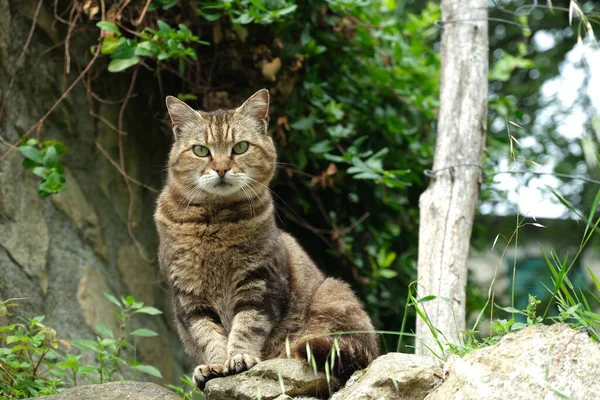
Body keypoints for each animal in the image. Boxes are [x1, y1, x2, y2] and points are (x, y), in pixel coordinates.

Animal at [155, 89, 380, 390]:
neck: (215, 221)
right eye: (201, 150)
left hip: (333, 298)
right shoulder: (189, 295)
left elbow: (247, 326)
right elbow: (208, 335)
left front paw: (238, 357)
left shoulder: (260, 282)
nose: (222, 169)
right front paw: (214, 365)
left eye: (240, 147)